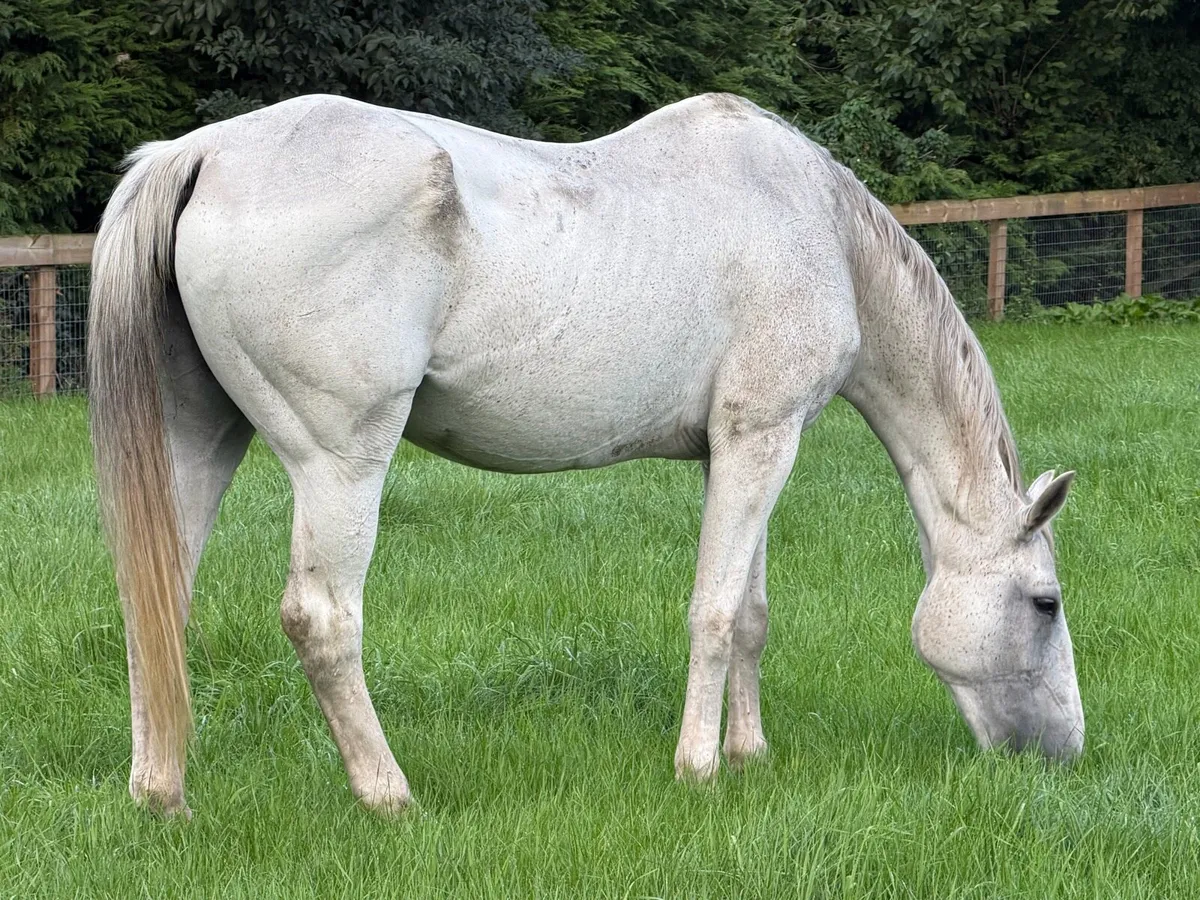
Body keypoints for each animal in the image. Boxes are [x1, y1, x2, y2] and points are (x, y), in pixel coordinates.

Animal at [88, 92, 1082, 817]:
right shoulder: (762, 439)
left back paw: (161, 796)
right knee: (321, 619)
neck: (817, 227)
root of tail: (204, 151)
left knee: (156, 602)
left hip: (198, 443)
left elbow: (750, 612)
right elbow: (714, 613)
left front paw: (750, 755)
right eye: (1045, 602)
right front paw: (699, 771)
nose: (1065, 753)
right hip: (340, 464)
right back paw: (388, 797)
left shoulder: (746, 450)